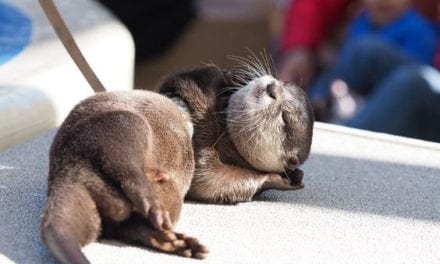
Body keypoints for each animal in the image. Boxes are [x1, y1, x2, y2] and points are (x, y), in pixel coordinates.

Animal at [40, 90, 209, 262]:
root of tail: (69, 173)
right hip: (120, 125)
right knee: (125, 167)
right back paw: (155, 206)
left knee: (127, 227)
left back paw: (180, 243)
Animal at [160, 56, 314, 204]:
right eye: (284, 83)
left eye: (285, 117)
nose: (273, 87)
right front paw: (234, 77)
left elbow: (208, 181)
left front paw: (278, 180)